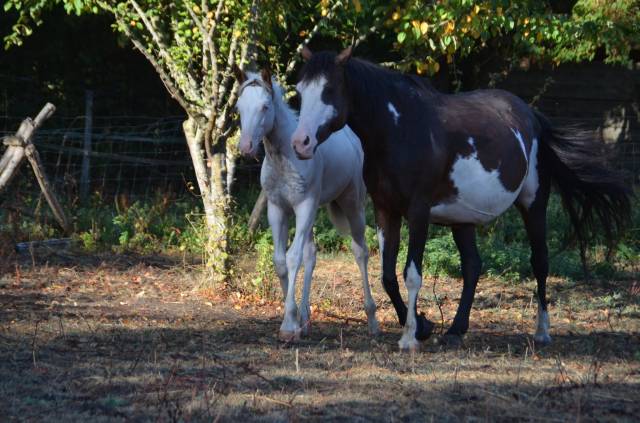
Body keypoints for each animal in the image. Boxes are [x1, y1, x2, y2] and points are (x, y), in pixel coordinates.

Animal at [232, 65, 379, 341]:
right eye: (238, 107)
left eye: (265, 106)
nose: (246, 147)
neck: (283, 157)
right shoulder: (277, 209)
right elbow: (280, 261)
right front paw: (293, 321)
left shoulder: (304, 206)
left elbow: (292, 258)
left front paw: (289, 326)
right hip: (313, 213)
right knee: (311, 255)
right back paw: (306, 320)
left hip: (352, 204)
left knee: (360, 252)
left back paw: (372, 321)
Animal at [290, 46, 631, 351]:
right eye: (301, 90)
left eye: (329, 90)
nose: (300, 143)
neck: (401, 129)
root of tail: (532, 117)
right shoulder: (385, 210)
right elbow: (388, 276)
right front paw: (423, 326)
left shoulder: (418, 211)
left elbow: (411, 274)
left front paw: (410, 337)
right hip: (463, 219)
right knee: (473, 266)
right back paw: (455, 330)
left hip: (533, 204)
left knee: (540, 262)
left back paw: (542, 331)